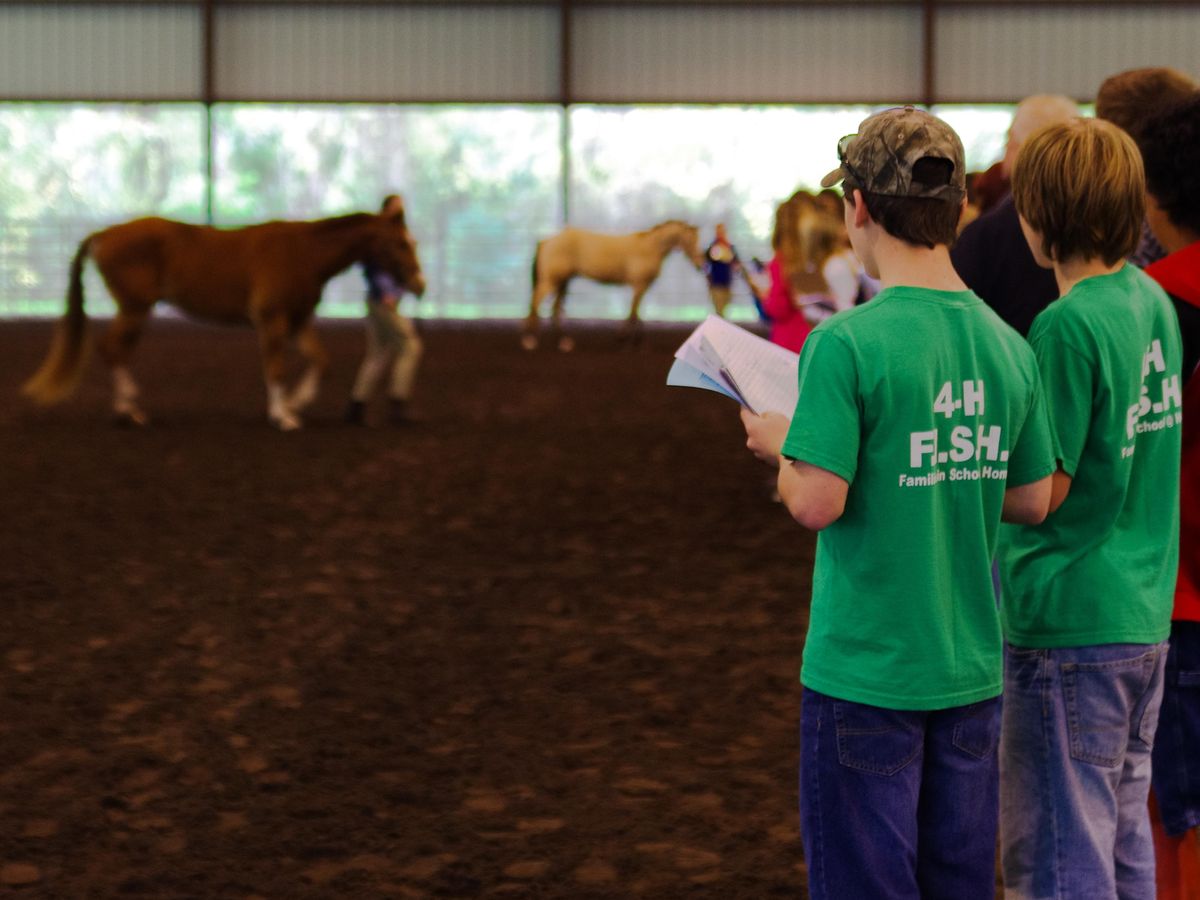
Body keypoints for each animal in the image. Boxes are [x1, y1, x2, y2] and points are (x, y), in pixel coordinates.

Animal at [19, 207, 427, 429]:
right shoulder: (272, 320)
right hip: (134, 309)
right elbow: (275, 368)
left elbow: (320, 361)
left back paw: (129, 408)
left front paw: (295, 404)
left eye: (412, 242)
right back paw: (129, 412)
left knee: (116, 350)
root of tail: (104, 235)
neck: (304, 253)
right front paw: (283, 417)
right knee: (112, 349)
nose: (419, 284)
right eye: (399, 243)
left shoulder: (298, 321)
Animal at [523, 218, 705, 352]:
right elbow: (633, 313)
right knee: (535, 304)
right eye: (691, 240)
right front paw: (626, 339)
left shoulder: (640, 287)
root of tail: (547, 241)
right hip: (551, 282)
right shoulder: (639, 285)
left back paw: (564, 342)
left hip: (562, 282)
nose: (700, 265)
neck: (650, 248)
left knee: (554, 309)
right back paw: (530, 341)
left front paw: (636, 341)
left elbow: (636, 313)